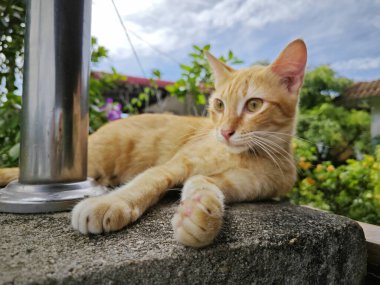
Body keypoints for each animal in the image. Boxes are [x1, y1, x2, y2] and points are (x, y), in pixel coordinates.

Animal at [0, 39, 306, 246]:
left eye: (254, 105)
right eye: (219, 104)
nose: (225, 131)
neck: (247, 156)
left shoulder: (241, 184)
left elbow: (204, 184)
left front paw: (199, 217)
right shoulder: (177, 164)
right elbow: (147, 181)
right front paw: (110, 203)